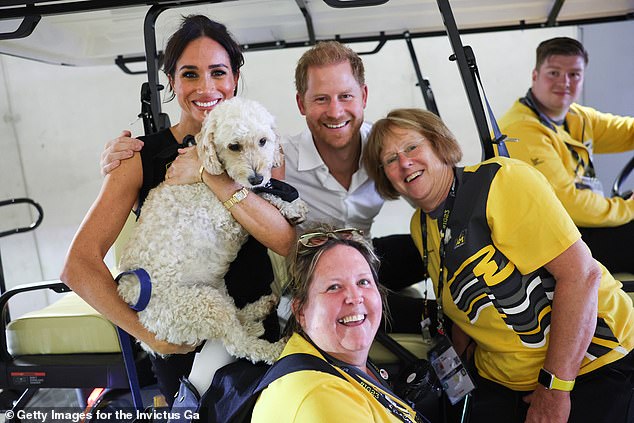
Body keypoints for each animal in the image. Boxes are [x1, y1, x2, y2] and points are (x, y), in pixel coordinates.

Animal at [119, 98, 308, 364]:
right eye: (234, 146)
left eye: (263, 141)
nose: (257, 177)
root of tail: (145, 325)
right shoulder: (222, 214)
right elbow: (257, 195)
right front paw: (289, 205)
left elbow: (261, 194)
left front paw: (291, 205)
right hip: (202, 304)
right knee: (238, 343)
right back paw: (274, 349)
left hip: (215, 291)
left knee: (236, 317)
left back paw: (258, 311)